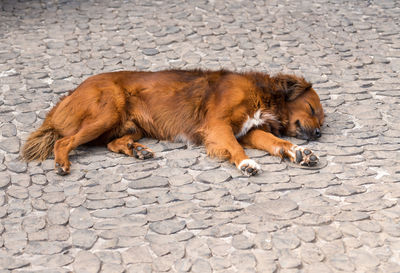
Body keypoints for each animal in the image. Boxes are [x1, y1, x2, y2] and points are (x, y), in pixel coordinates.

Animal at [20, 69, 324, 175]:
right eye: (311, 108)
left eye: (322, 118)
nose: (320, 133)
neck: (262, 94)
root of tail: (69, 95)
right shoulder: (218, 126)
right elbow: (236, 149)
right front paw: (246, 163)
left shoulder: (248, 130)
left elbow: (276, 141)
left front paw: (299, 153)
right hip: (106, 114)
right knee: (63, 141)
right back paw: (61, 163)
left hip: (130, 125)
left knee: (110, 143)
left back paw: (136, 150)